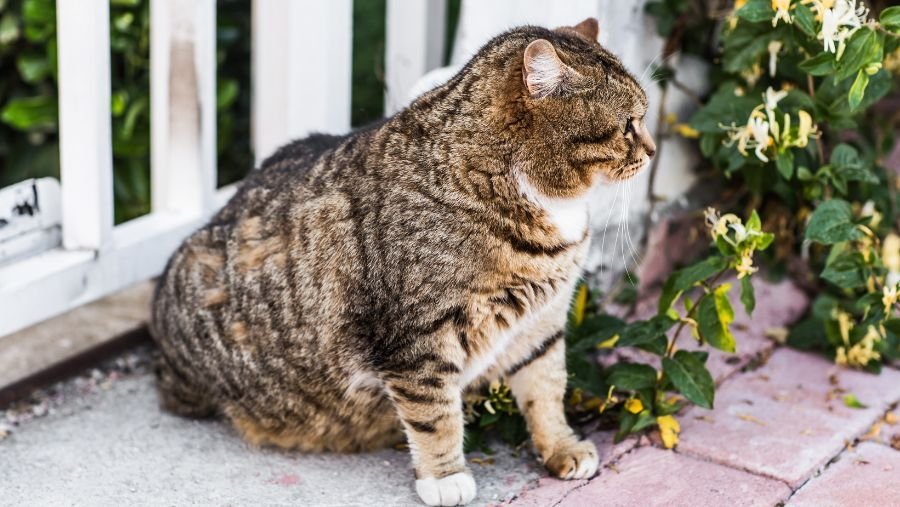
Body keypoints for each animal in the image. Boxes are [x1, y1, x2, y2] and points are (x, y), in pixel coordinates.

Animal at [149, 17, 652, 506]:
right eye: (629, 125)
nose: (651, 151)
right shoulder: (418, 343)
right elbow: (435, 415)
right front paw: (445, 477)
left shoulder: (541, 323)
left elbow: (547, 388)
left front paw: (561, 447)